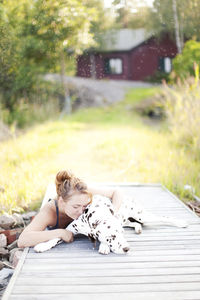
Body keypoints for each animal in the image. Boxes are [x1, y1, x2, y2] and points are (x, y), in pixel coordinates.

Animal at [33, 195, 188, 255]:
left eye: (122, 235)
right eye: (112, 236)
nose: (127, 248)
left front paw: (104, 246)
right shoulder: (70, 229)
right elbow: (55, 237)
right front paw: (42, 245)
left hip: (143, 216)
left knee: (164, 217)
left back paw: (181, 222)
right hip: (127, 218)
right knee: (132, 223)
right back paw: (137, 228)